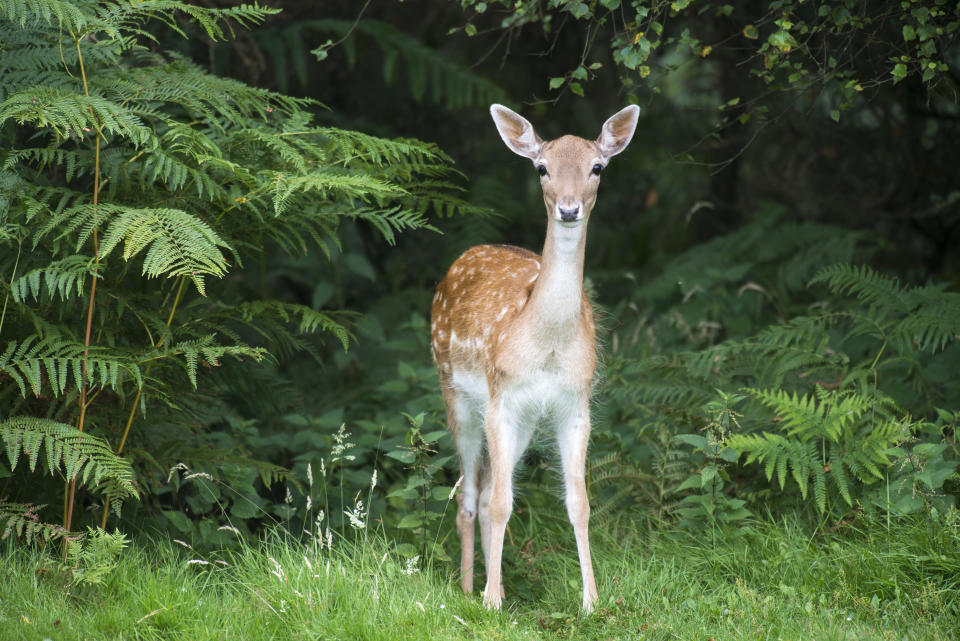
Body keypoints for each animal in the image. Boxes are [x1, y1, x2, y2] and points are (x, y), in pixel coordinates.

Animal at [428, 102, 636, 612]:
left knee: (484, 493)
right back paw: (471, 589)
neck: (547, 344)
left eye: (597, 167)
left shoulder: (574, 403)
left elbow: (579, 503)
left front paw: (591, 602)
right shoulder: (501, 397)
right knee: (469, 495)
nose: (569, 207)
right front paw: (489, 604)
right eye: (542, 168)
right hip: (455, 391)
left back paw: (495, 584)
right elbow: (503, 502)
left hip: (522, 420)